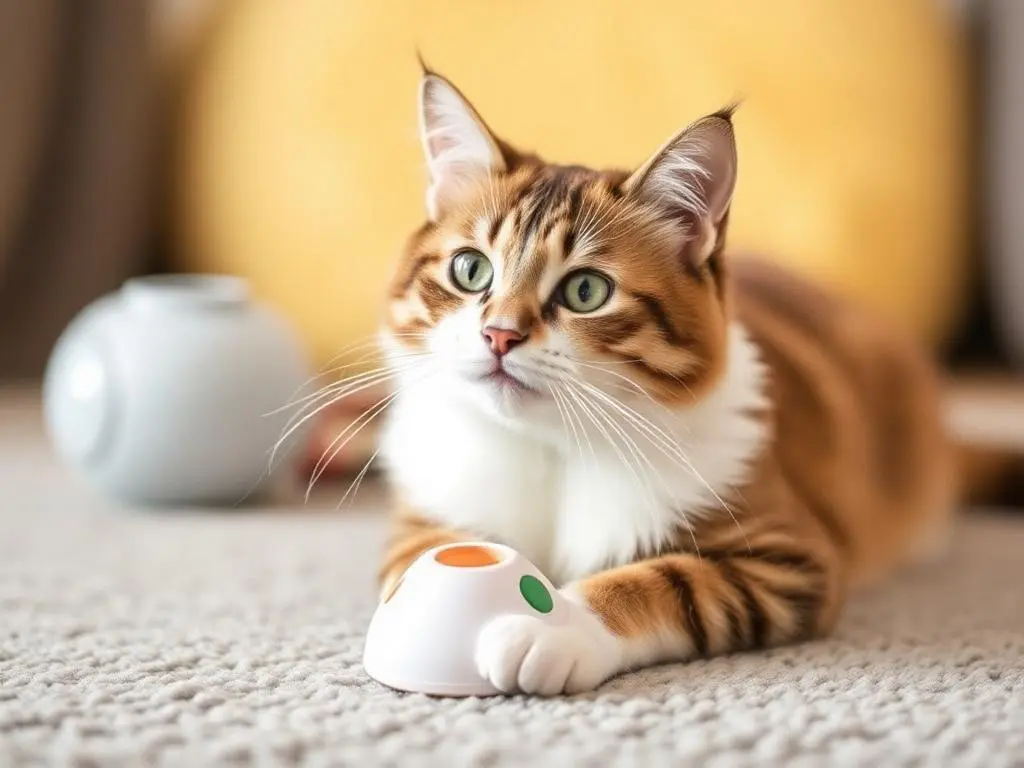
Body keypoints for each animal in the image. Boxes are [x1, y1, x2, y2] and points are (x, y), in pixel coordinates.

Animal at [372, 69, 954, 696]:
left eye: (585, 291)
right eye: (471, 269)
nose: (499, 335)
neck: (553, 448)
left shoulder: (789, 559)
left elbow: (659, 582)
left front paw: (554, 628)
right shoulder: (423, 516)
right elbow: (431, 560)